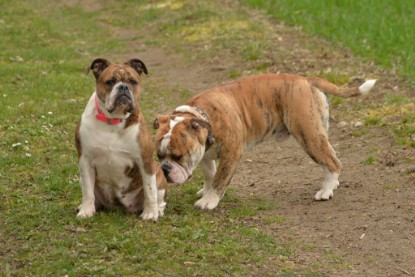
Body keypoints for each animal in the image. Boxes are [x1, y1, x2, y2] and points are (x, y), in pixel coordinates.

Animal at [75, 57, 167, 220]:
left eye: (133, 81)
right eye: (110, 82)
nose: (123, 87)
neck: (113, 120)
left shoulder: (145, 160)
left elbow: (150, 191)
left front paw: (150, 213)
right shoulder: (85, 160)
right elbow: (87, 191)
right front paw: (86, 211)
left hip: (158, 175)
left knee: (159, 198)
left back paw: (158, 210)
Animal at [154, 73, 376, 209]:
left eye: (178, 156)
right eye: (159, 156)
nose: (164, 169)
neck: (203, 115)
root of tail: (306, 80)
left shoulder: (231, 152)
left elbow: (219, 178)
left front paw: (210, 201)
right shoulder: (205, 154)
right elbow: (210, 175)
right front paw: (206, 192)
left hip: (308, 135)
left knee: (332, 162)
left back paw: (326, 191)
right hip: (316, 133)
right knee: (329, 157)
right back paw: (333, 184)